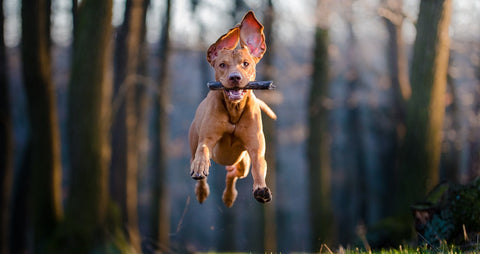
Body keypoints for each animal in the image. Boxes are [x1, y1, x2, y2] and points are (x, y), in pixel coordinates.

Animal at [189, 10, 276, 207]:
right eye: (222, 64)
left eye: (246, 63)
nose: (235, 77)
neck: (234, 109)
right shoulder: (207, 138)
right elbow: (203, 150)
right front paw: (200, 167)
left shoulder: (255, 148)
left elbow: (259, 166)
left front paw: (261, 189)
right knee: (200, 165)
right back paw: (201, 190)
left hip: (242, 162)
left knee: (234, 173)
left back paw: (229, 196)